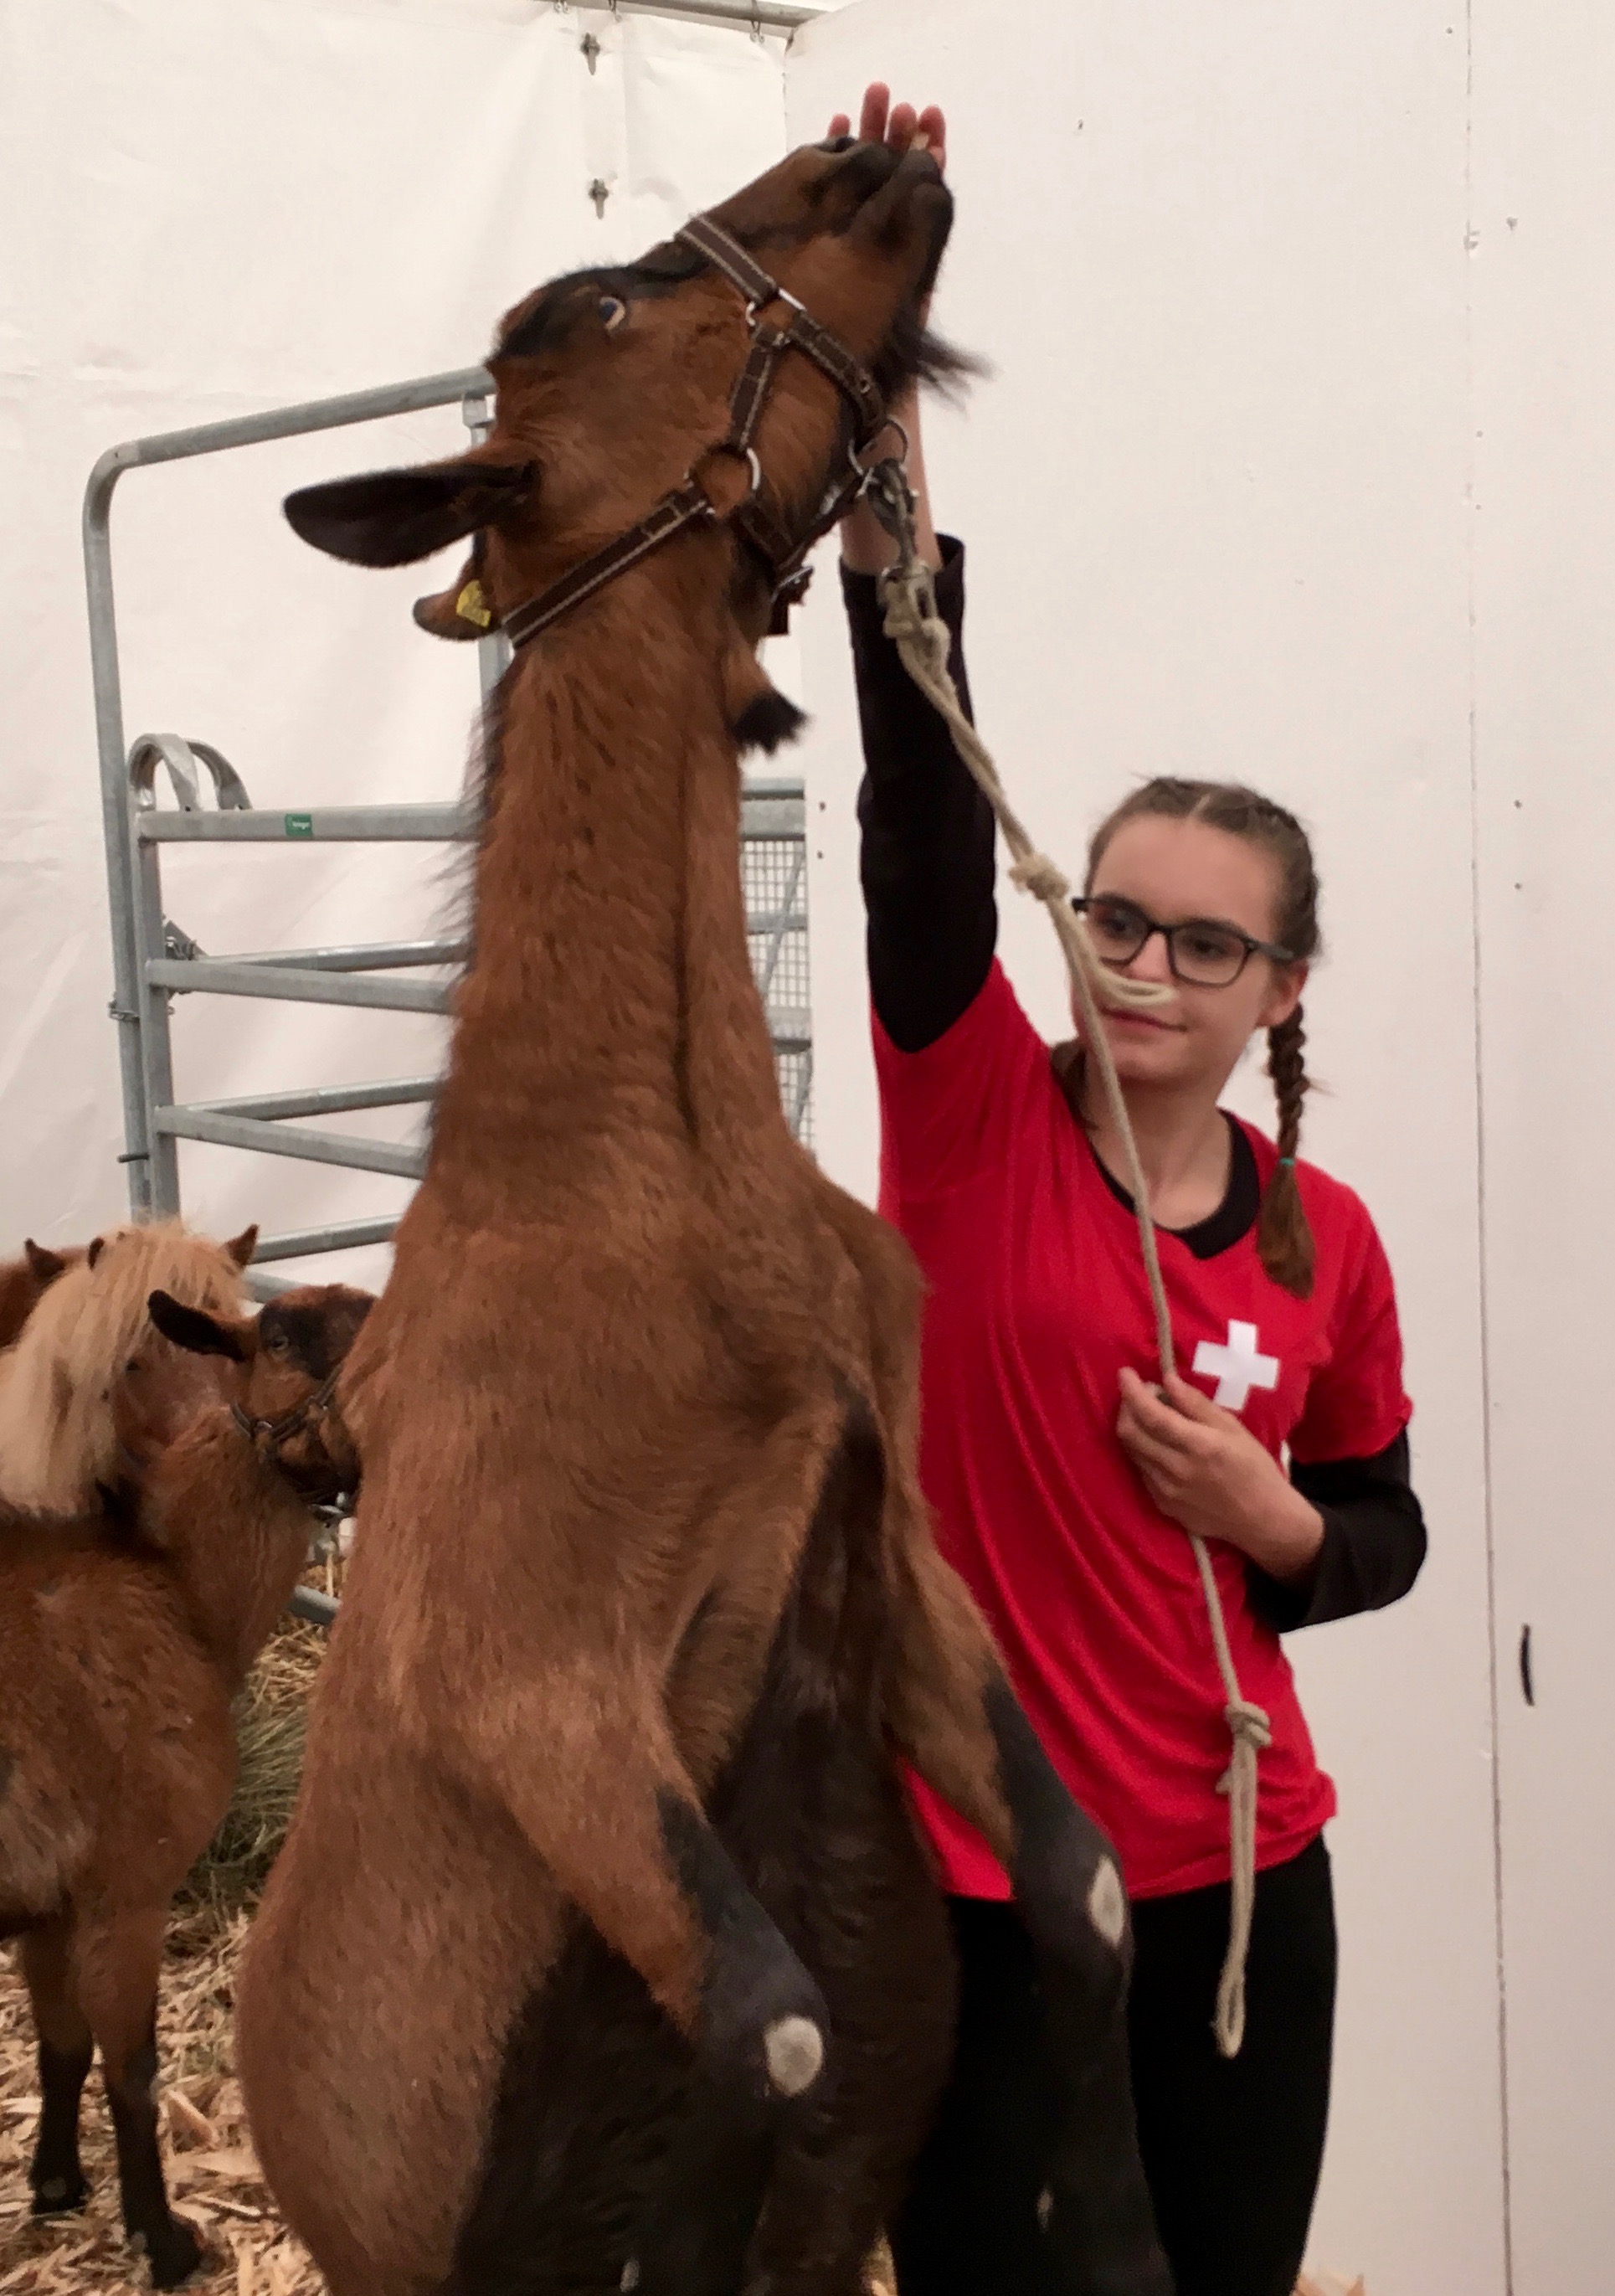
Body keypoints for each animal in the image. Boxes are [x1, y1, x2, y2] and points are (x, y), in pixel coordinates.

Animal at [239, 138, 1165, 2296]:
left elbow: (1080, 1895)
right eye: (588, 305)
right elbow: (774, 2022)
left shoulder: (888, 1550)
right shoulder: (530, 1680)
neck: (634, 1174)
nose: (868, 154)